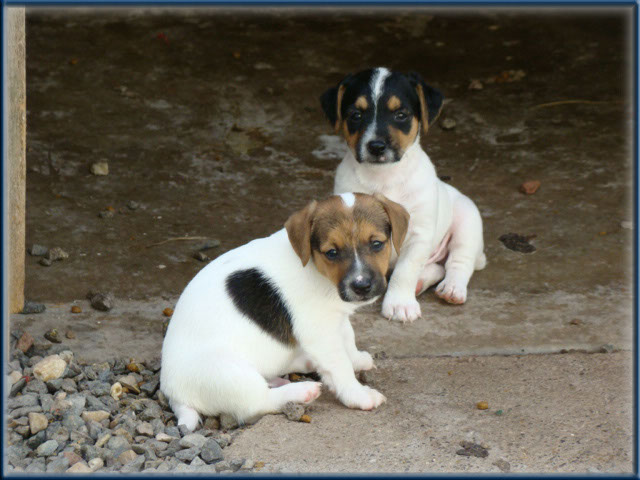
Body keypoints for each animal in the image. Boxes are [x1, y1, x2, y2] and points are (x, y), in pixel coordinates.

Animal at [160, 191, 410, 428]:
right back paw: (301, 392)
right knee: (258, 402)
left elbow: (348, 338)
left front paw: (357, 359)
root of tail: (173, 394)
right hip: (229, 375)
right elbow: (340, 366)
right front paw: (358, 395)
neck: (316, 270)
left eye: (377, 244)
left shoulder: (335, 318)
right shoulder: (320, 332)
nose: (361, 286)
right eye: (332, 253)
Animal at [320, 66, 484, 322]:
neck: (384, 178)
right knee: (438, 266)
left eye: (401, 115)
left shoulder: (419, 235)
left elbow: (405, 270)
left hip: (467, 222)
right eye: (356, 115)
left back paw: (452, 289)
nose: (376, 146)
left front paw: (399, 304)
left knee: (457, 263)